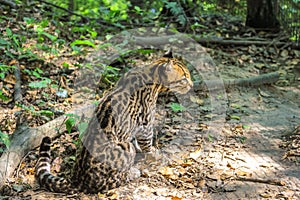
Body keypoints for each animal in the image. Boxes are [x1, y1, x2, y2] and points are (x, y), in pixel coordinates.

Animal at [35, 51, 193, 194]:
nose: (191, 86)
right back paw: (133, 172)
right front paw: (154, 153)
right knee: (116, 179)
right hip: (125, 148)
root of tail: (77, 180)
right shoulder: (146, 123)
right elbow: (147, 142)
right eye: (184, 78)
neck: (151, 71)